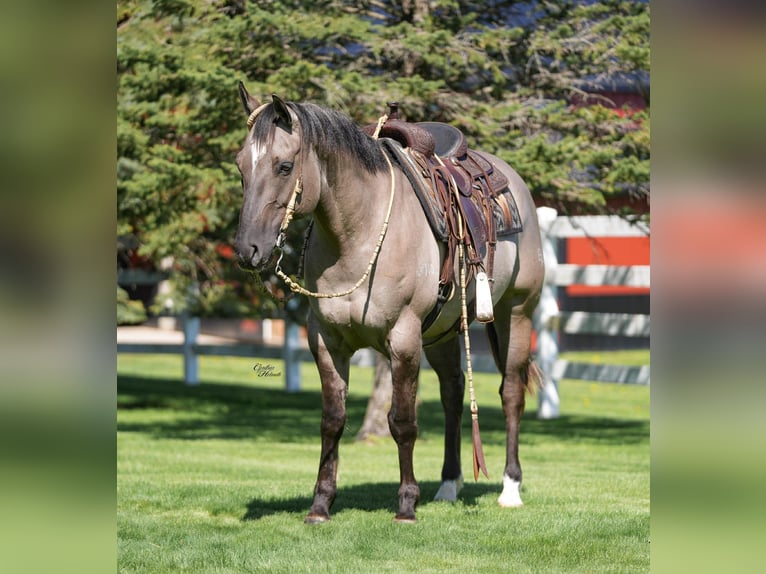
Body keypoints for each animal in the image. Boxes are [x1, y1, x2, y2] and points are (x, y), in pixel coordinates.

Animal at [233, 86, 544, 523]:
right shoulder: (326, 341)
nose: (248, 250)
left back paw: (510, 488)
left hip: (516, 313)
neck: (358, 233)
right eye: (240, 166)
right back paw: (448, 485)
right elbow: (332, 420)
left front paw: (406, 504)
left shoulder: (404, 339)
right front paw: (321, 504)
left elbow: (402, 421)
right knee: (453, 395)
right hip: (443, 333)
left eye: (283, 166)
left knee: (511, 392)